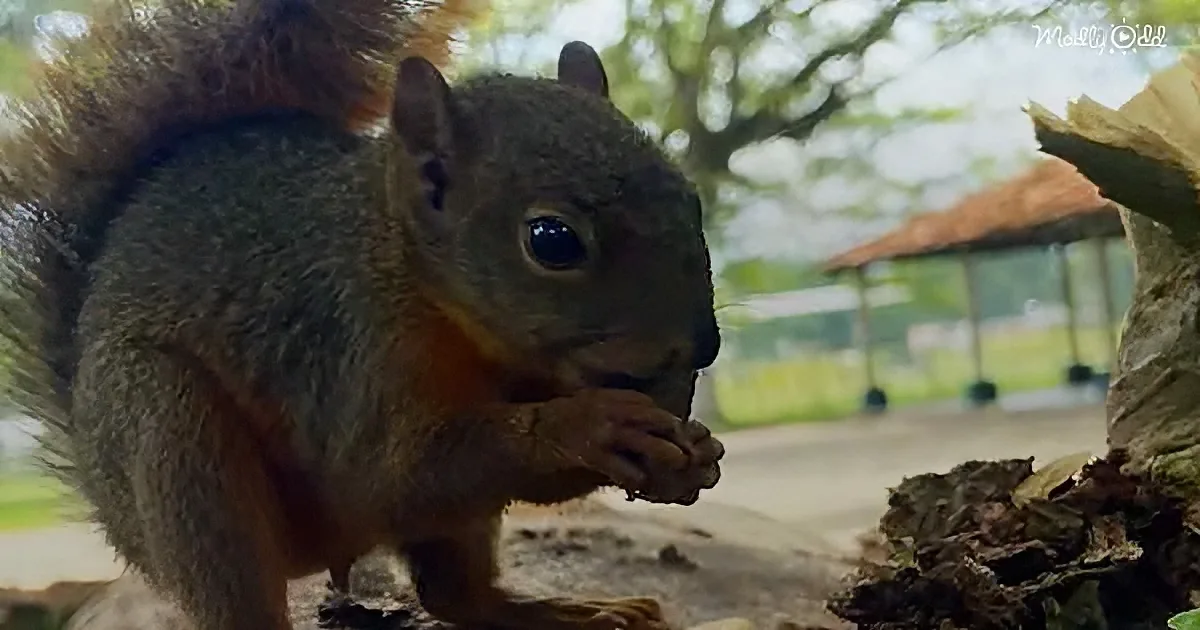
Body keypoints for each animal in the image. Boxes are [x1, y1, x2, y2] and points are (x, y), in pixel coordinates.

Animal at [0, 0, 724, 629]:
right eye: (552, 240)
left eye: (690, 197)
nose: (700, 347)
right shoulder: (349, 346)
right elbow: (389, 475)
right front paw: (594, 427)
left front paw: (688, 446)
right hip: (169, 435)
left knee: (455, 596)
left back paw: (563, 611)